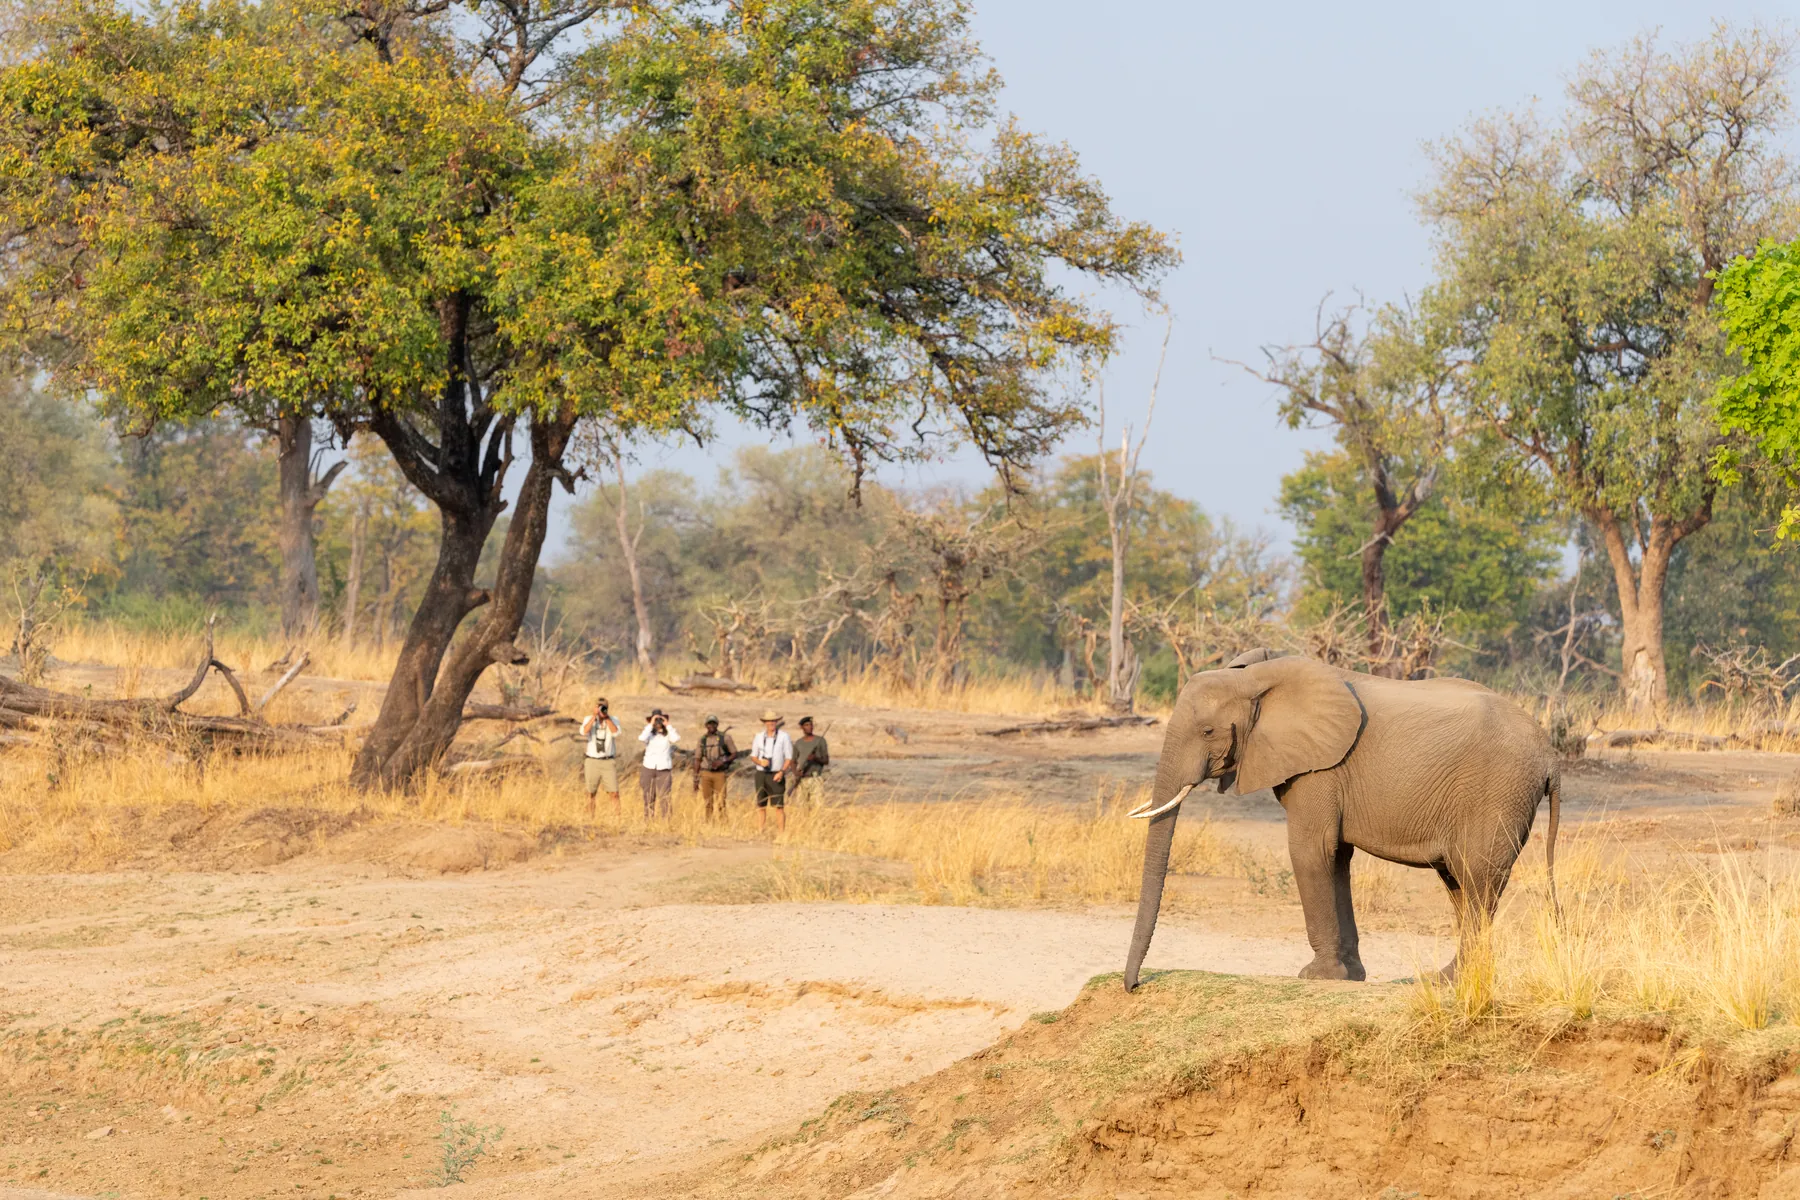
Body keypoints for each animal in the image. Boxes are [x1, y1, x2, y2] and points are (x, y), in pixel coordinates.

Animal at [1122, 650, 1560, 991]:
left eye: (1208, 730)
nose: (1134, 986)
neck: (1258, 678)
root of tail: (1550, 753)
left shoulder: (1321, 769)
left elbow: (1310, 850)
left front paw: (1317, 976)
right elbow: (1336, 858)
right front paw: (1350, 975)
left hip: (1498, 793)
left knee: (1476, 879)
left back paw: (1451, 980)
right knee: (1460, 884)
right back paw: (1451, 980)